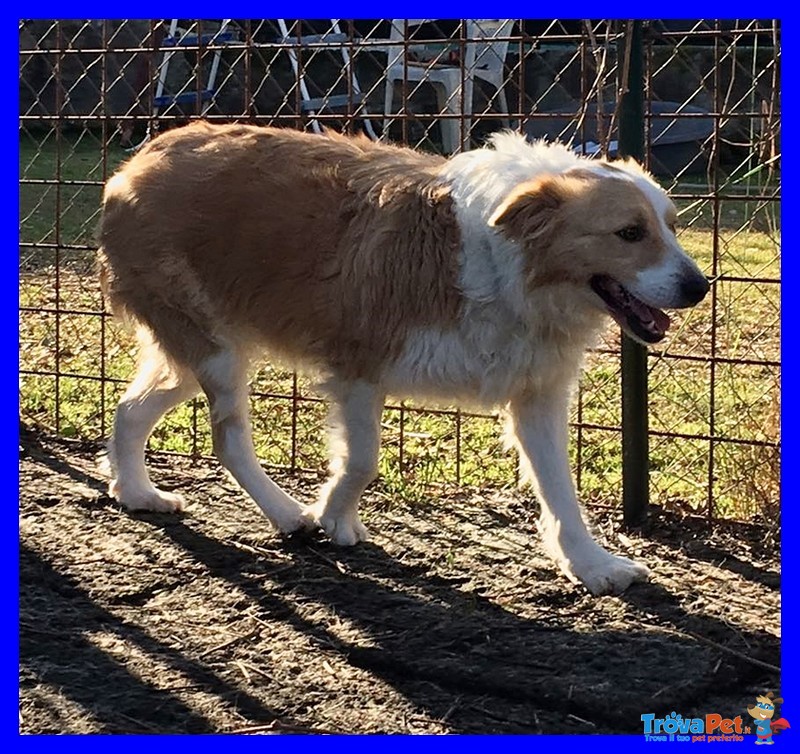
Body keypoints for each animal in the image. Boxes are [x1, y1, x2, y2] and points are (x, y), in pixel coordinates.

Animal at [98, 122, 708, 592]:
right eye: (629, 233)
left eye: (672, 227)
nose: (700, 288)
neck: (504, 262)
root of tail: (138, 161)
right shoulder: (358, 371)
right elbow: (362, 461)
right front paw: (332, 516)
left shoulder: (537, 394)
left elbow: (562, 490)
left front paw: (591, 565)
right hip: (218, 354)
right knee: (227, 440)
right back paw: (287, 513)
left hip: (195, 353)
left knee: (129, 412)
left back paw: (136, 492)